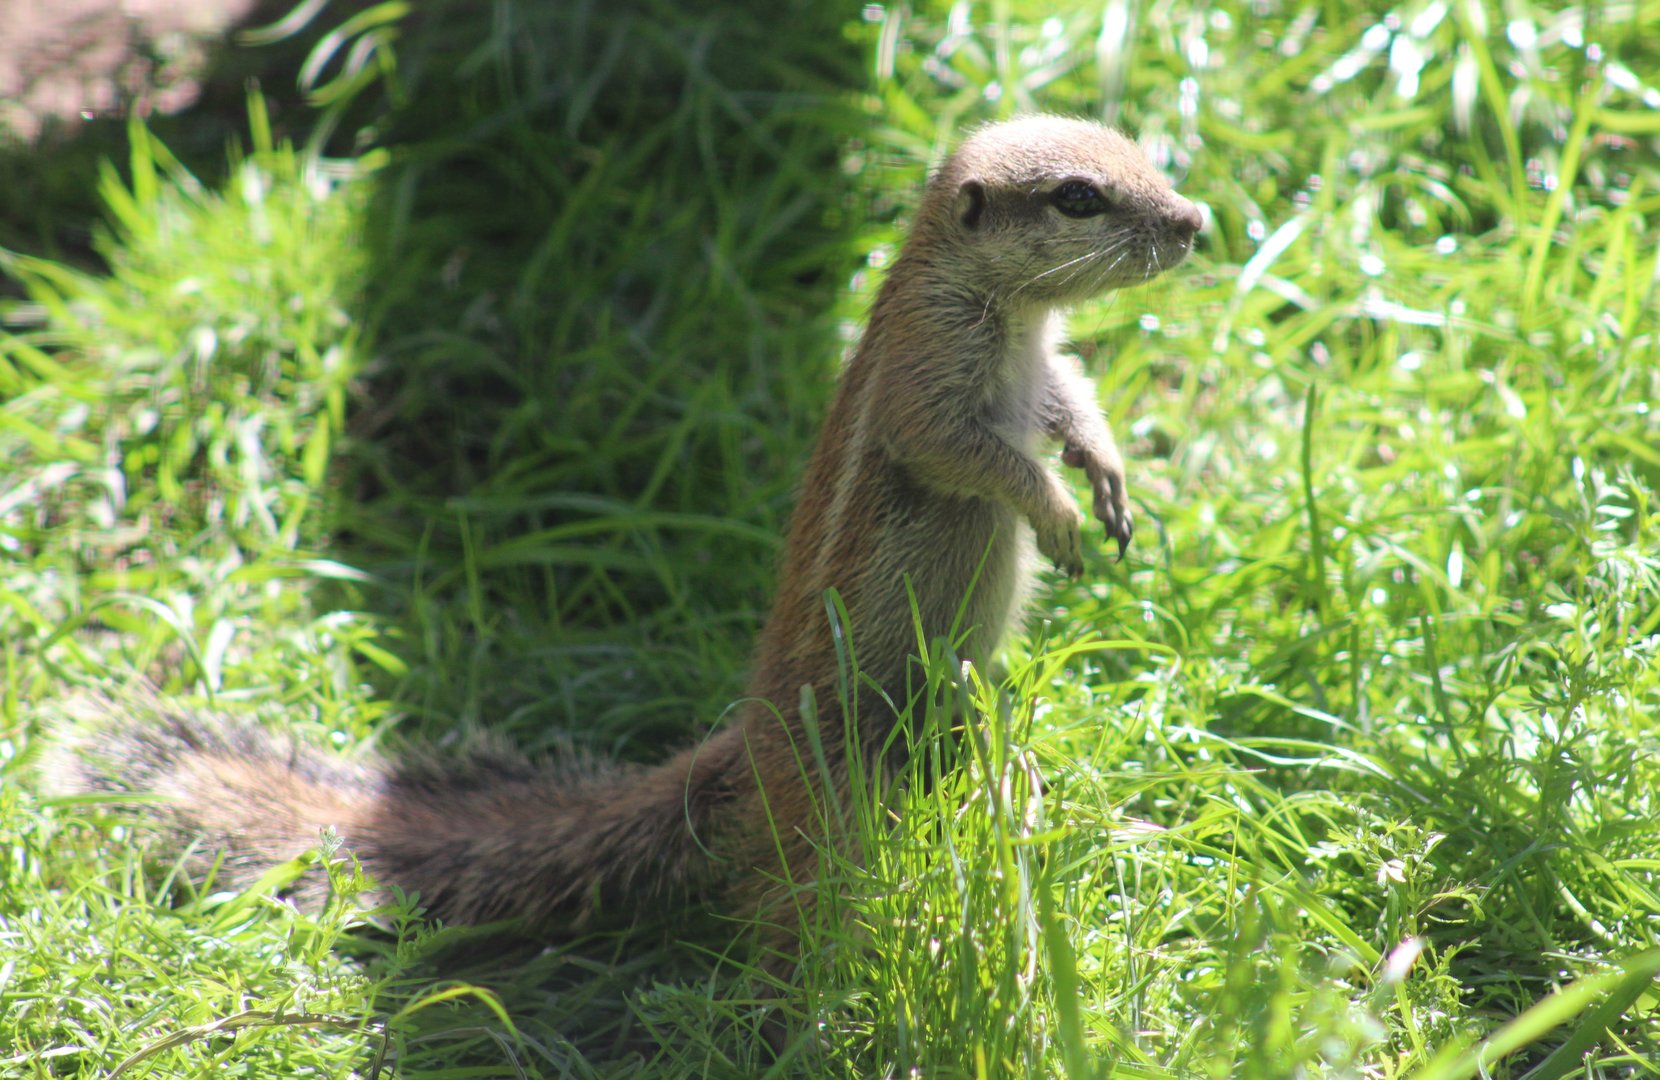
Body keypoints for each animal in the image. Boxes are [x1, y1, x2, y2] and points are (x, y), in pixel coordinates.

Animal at [47, 115, 1201, 934]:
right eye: (1079, 197)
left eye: (1139, 155)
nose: (1193, 221)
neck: (1010, 315)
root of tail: (744, 736)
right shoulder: (929, 384)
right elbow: (973, 456)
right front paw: (1057, 514)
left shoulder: (1045, 369)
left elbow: (1070, 407)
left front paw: (1107, 481)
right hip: (827, 789)